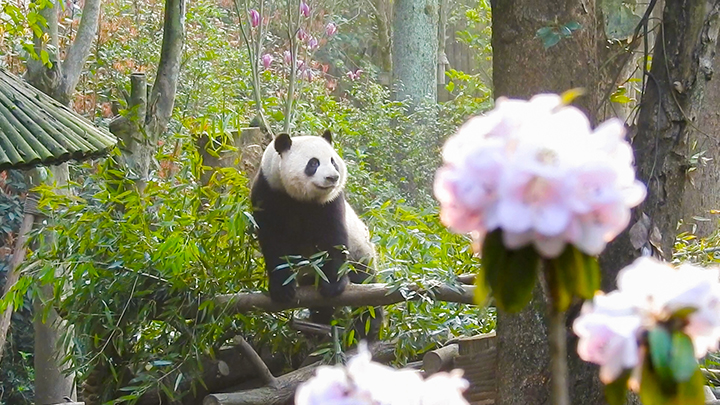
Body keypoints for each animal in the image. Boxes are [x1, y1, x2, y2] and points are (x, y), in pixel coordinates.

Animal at [250, 131, 382, 340]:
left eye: (333, 161)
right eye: (313, 163)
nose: (332, 177)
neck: (299, 198)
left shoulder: (330, 202)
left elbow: (333, 239)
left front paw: (333, 285)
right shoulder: (267, 193)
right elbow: (273, 242)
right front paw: (282, 289)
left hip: (360, 251)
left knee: (366, 283)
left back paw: (367, 325)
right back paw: (320, 321)